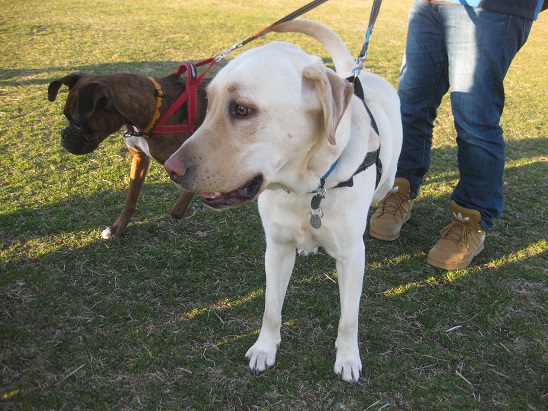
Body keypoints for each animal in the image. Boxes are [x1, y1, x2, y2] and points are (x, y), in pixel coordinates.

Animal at [164, 20, 402, 384]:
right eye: (209, 103)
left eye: (242, 110)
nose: (170, 169)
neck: (307, 189)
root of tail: (354, 73)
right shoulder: (275, 249)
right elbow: (271, 308)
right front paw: (265, 349)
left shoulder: (351, 256)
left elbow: (349, 318)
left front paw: (348, 357)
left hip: (387, 181)